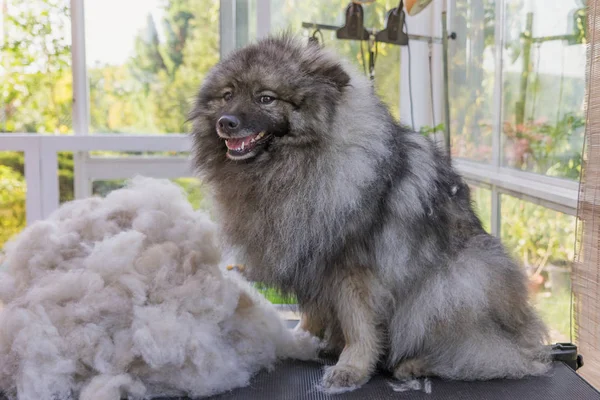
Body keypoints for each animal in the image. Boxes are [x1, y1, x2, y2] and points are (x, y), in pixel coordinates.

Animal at [190, 35, 552, 394]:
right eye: (227, 95)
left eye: (265, 98)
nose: (226, 123)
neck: (294, 165)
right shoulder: (312, 260)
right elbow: (314, 311)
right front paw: (304, 340)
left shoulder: (353, 268)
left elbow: (358, 324)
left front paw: (351, 367)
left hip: (456, 280)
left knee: (482, 352)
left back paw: (417, 364)